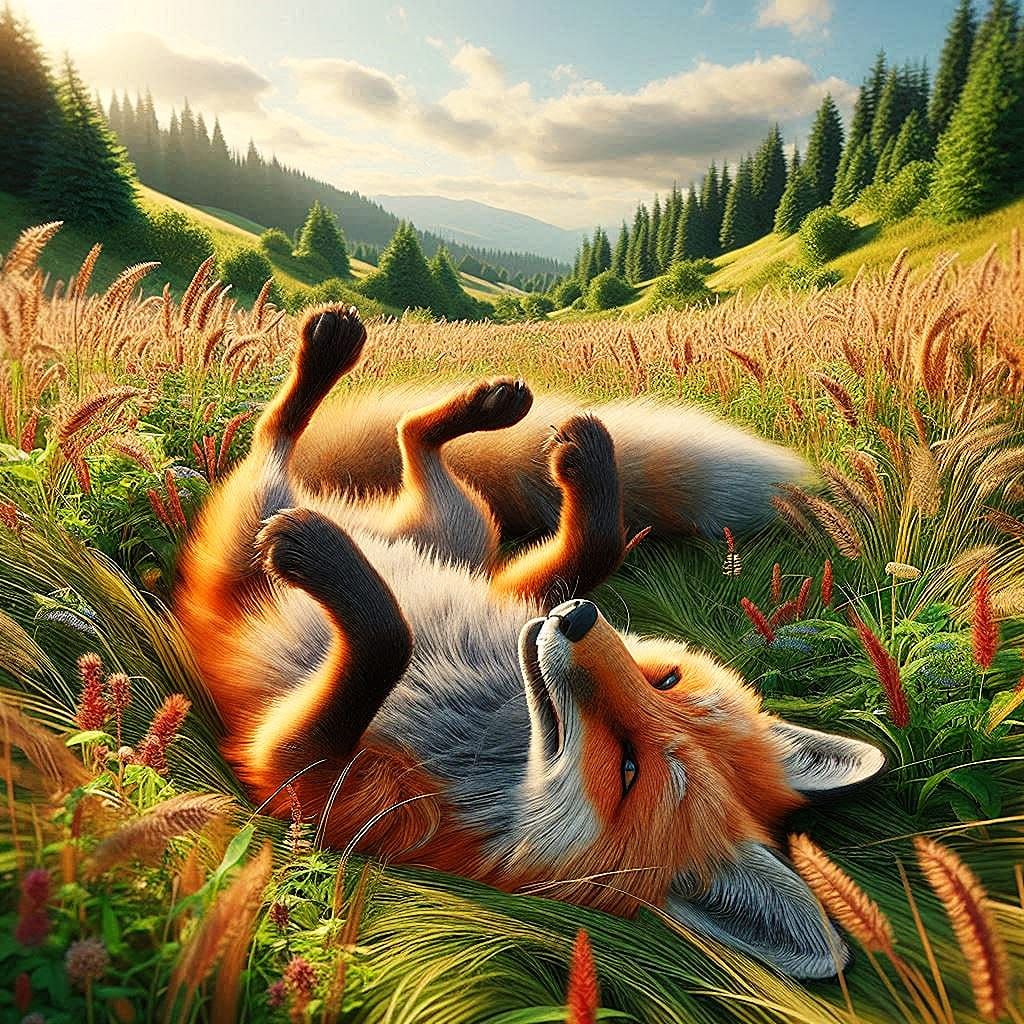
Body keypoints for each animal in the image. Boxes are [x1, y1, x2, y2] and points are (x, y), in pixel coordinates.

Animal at [175, 305, 886, 980]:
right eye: (666, 678)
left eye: (628, 770)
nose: (578, 622)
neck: (499, 739)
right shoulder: (518, 597)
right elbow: (598, 544)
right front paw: (586, 466)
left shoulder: (312, 783)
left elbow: (388, 639)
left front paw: (323, 561)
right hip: (467, 534)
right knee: (408, 441)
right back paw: (467, 400)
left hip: (260, 522)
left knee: (276, 443)